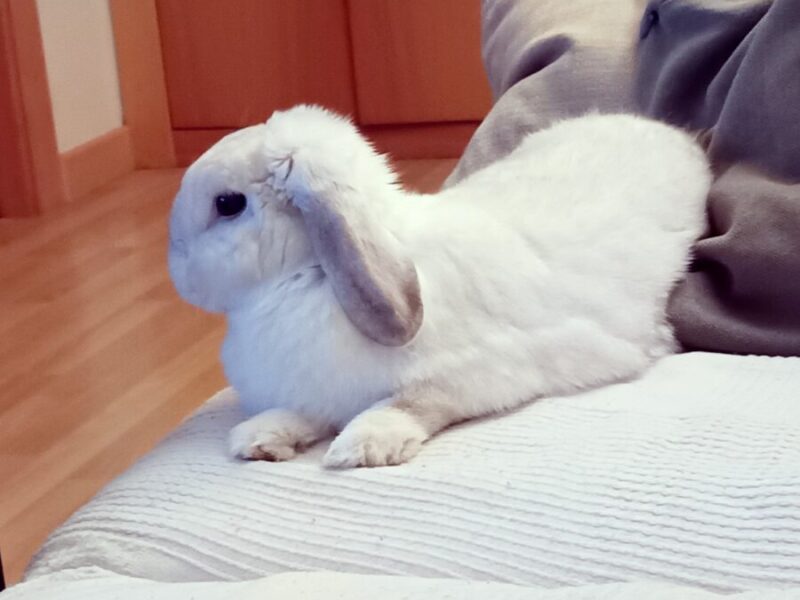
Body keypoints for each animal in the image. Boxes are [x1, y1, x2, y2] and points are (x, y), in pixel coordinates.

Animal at [168, 105, 711, 468]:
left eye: (228, 204)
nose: (175, 266)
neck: (311, 275)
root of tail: (670, 133)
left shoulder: (477, 375)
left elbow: (412, 402)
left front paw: (364, 445)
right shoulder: (317, 390)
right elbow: (304, 411)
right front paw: (260, 438)